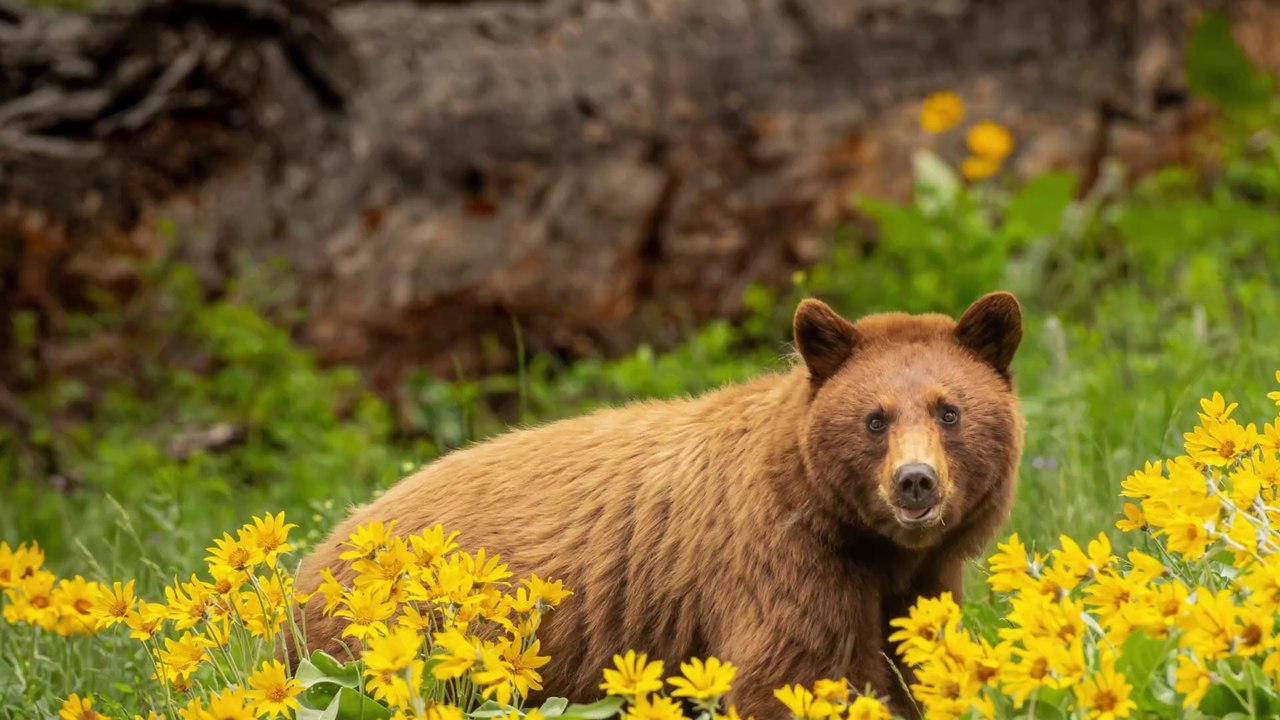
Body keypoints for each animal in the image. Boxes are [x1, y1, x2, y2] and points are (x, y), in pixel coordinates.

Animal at [292, 291, 1025, 719]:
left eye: (950, 410)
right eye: (875, 419)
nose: (915, 482)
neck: (862, 540)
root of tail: (315, 557)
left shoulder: (919, 580)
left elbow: (914, 664)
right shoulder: (782, 563)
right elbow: (788, 676)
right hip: (391, 647)